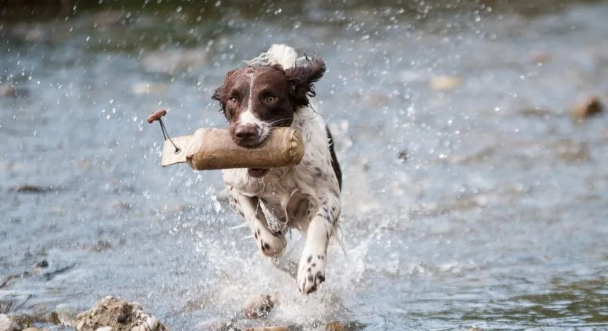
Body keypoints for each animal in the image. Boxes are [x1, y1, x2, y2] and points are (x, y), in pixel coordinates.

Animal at [211, 44, 340, 296]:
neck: (276, 171)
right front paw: (278, 246)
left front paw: (310, 270)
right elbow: (265, 238)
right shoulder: (235, 187)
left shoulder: (330, 196)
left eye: (270, 97)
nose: (245, 133)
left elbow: (320, 223)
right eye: (233, 99)